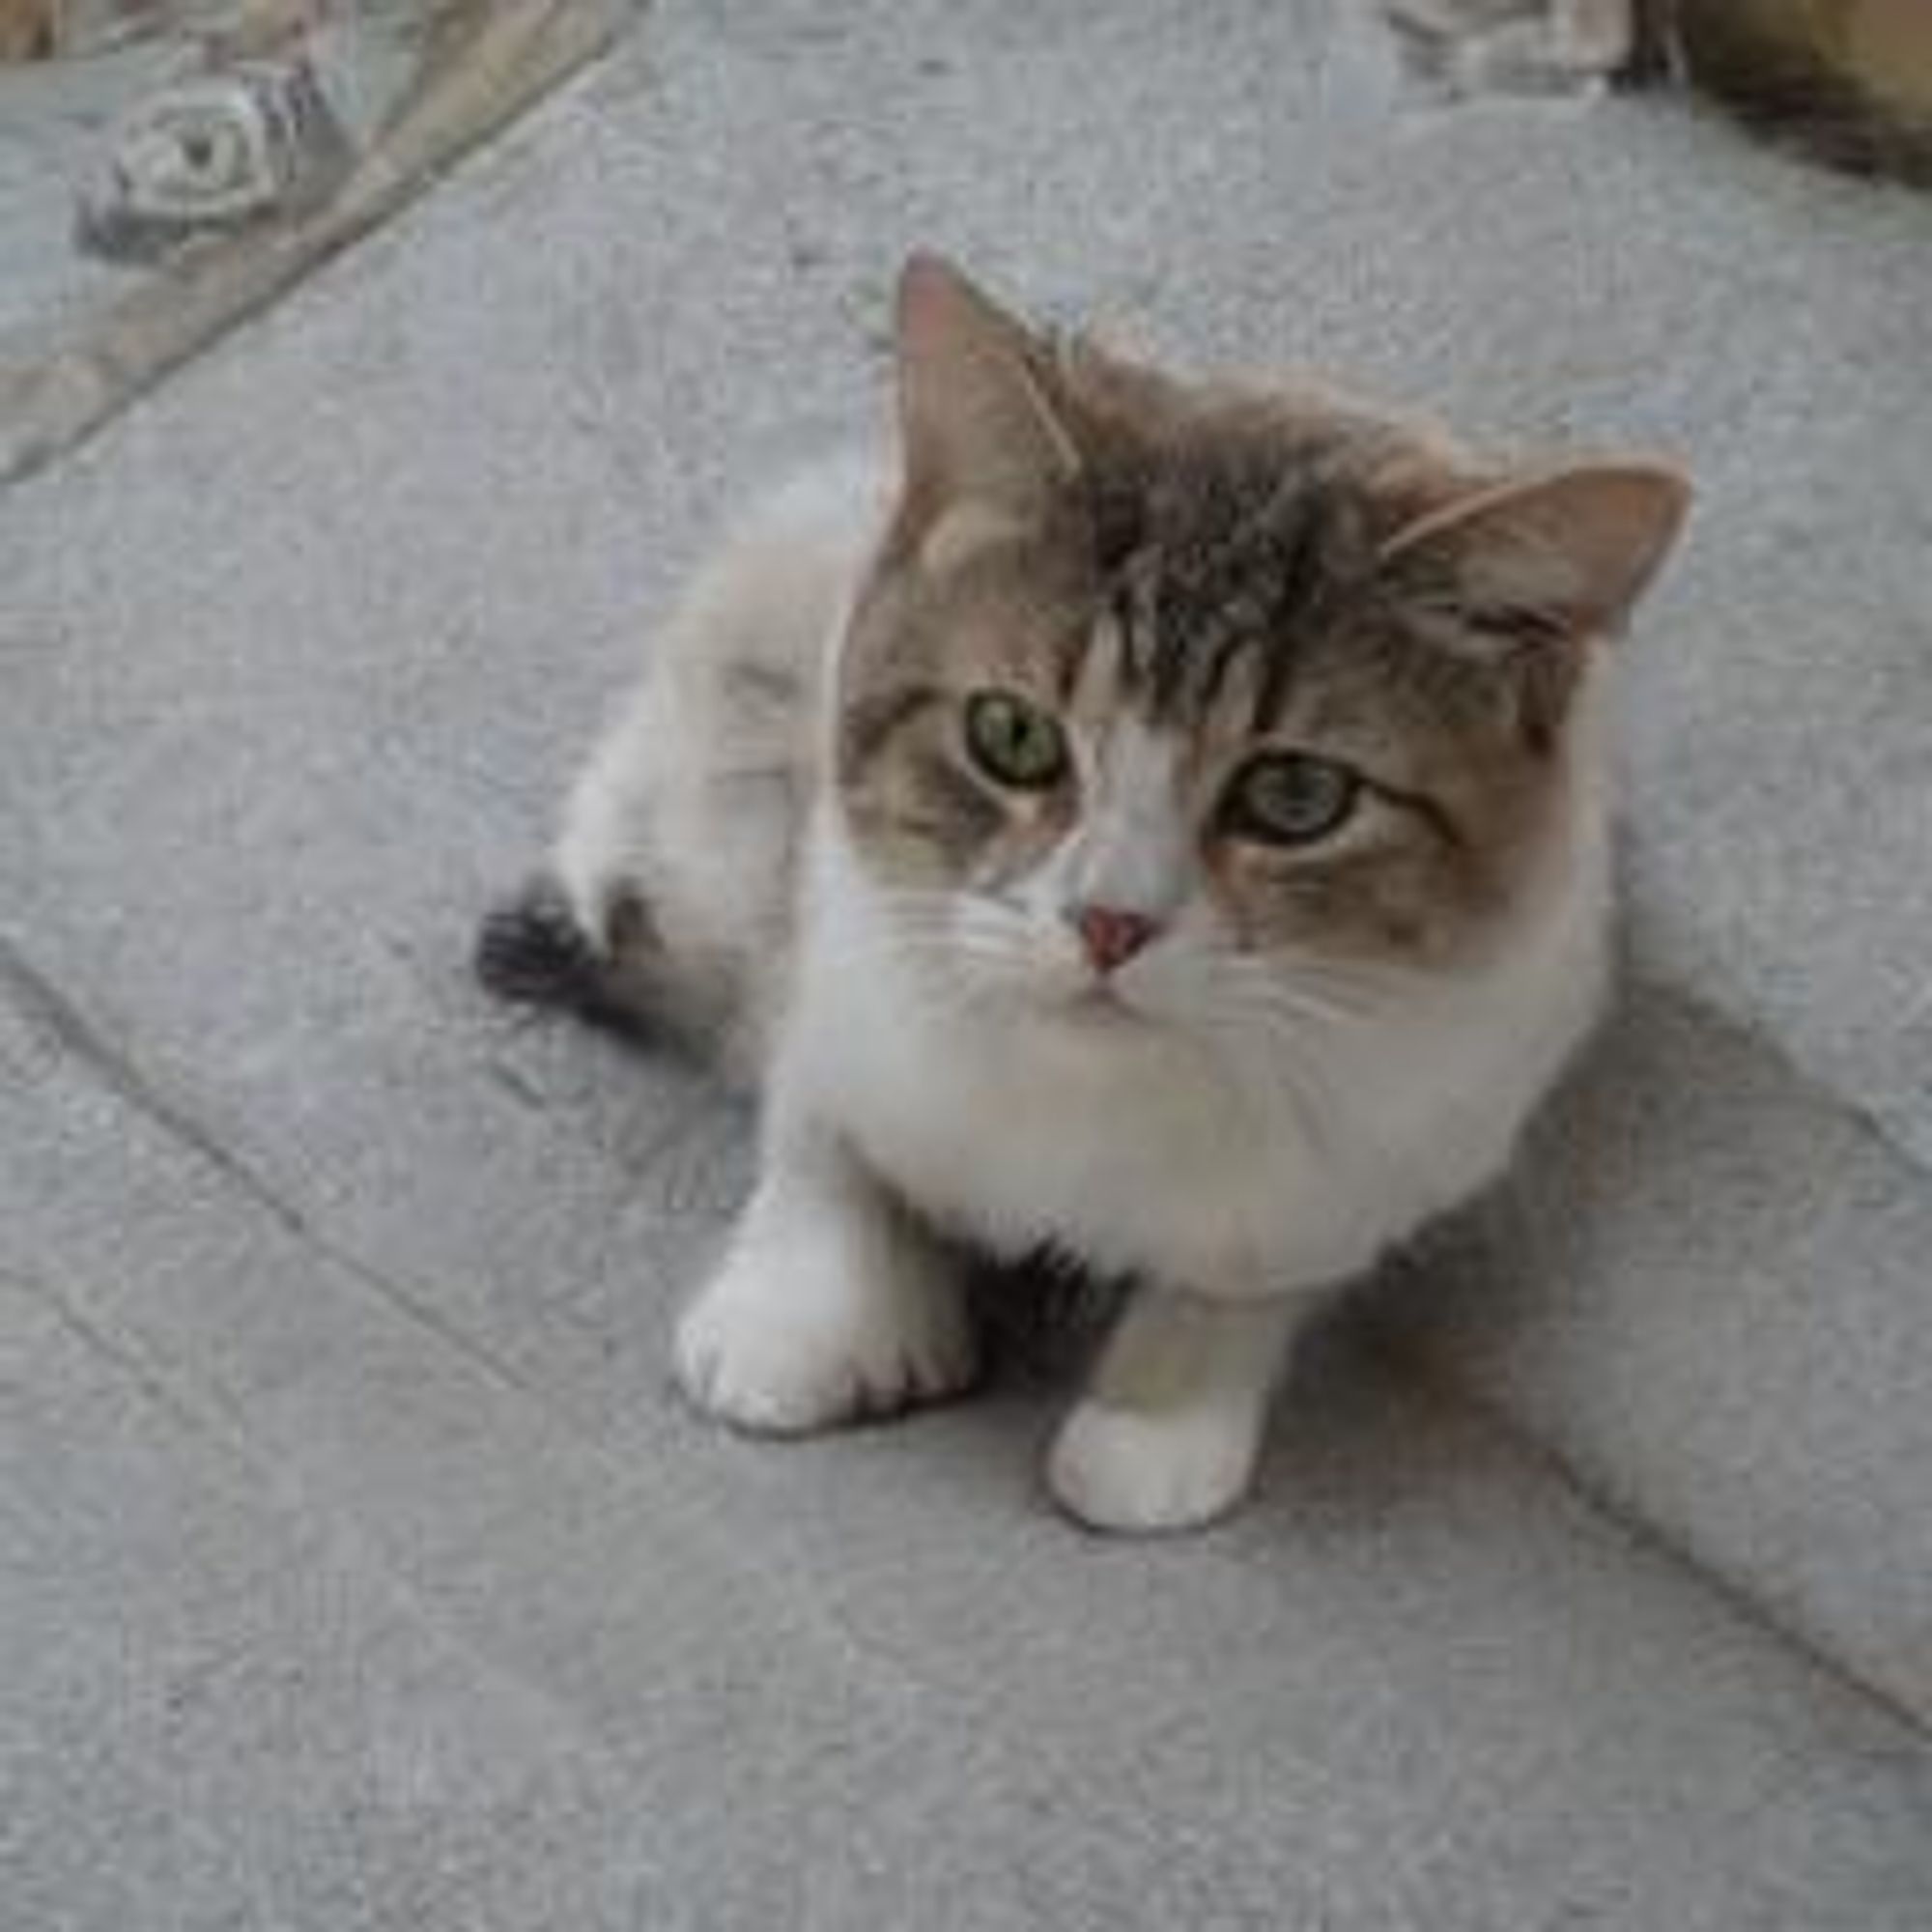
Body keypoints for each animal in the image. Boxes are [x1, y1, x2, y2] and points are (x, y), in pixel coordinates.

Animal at [479, 257, 1692, 1530]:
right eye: (1010, 734)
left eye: (1296, 794)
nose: (1110, 922)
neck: (1090, 1087)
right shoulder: (841, 934)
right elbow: (823, 1125)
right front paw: (808, 1320)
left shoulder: (1419, 1123)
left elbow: (1247, 1265)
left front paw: (1157, 1418)